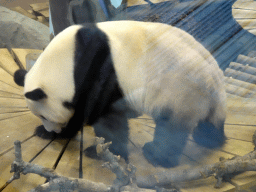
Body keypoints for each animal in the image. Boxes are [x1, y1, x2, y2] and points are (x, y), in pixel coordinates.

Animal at [14, 21, 226, 167]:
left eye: (44, 115)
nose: (53, 130)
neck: (67, 61)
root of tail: (215, 81)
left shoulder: (100, 73)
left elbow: (108, 119)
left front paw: (102, 151)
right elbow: (80, 113)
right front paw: (48, 133)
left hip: (180, 90)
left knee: (171, 127)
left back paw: (156, 155)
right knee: (209, 124)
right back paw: (211, 138)